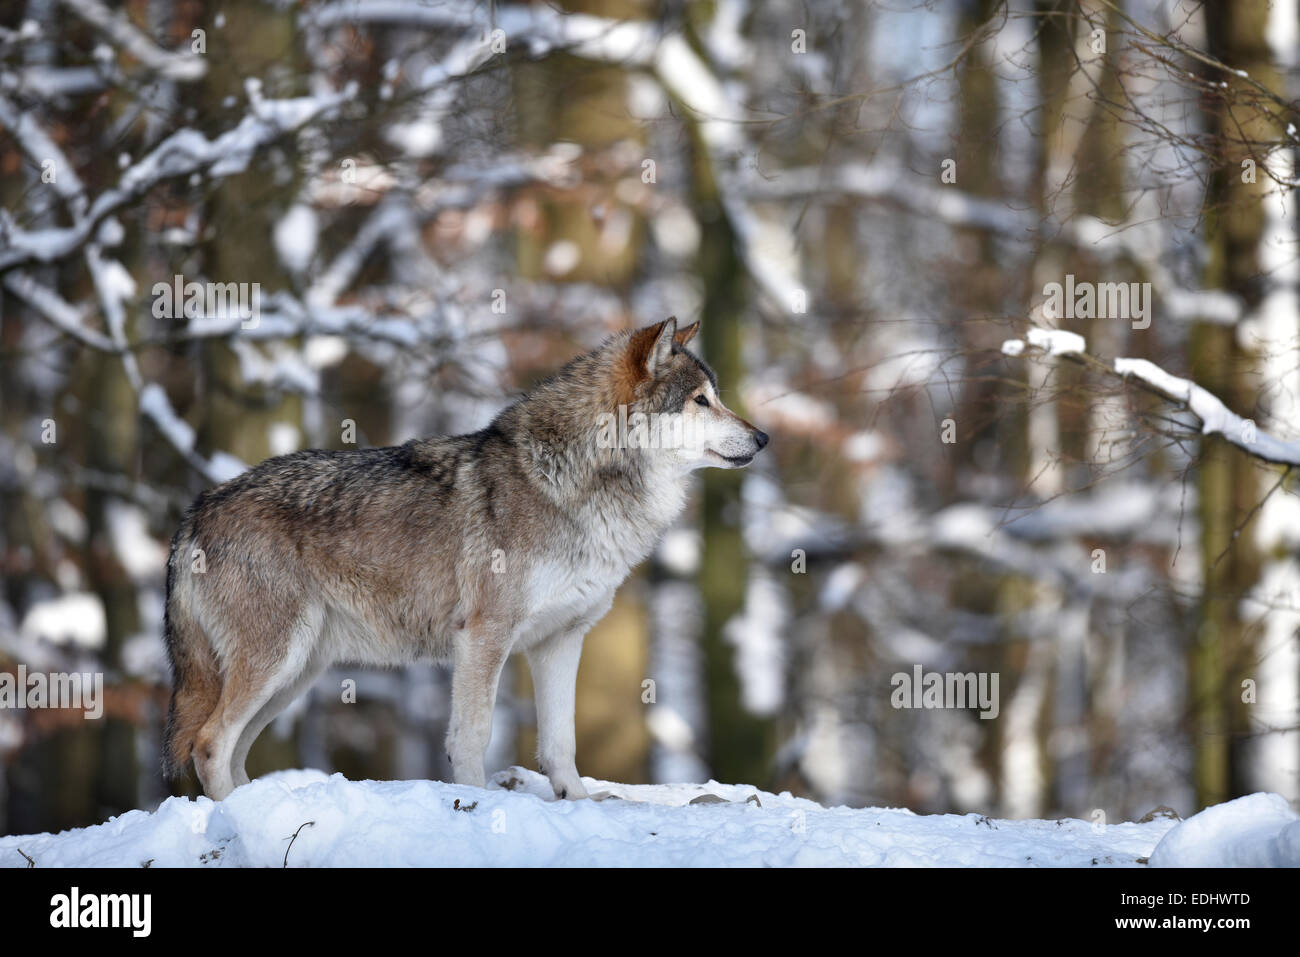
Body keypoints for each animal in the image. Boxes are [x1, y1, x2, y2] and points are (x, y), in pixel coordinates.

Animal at [162, 319, 769, 800]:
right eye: (701, 401)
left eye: (716, 397)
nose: (764, 438)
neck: (576, 485)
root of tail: (198, 508)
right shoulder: (485, 634)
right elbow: (473, 736)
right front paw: (478, 804)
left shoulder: (560, 641)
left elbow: (561, 743)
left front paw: (579, 804)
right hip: (276, 662)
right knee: (209, 744)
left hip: (295, 675)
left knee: (233, 750)